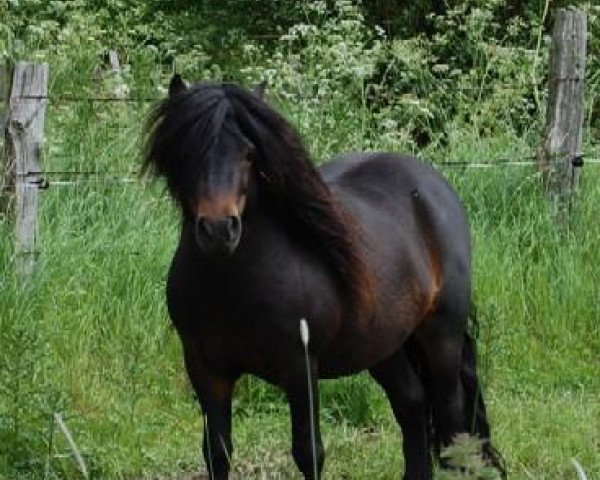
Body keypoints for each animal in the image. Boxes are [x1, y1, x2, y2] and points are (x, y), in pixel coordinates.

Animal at [143, 77, 504, 478]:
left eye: (250, 154)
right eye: (188, 150)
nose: (220, 229)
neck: (232, 287)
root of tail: (434, 186)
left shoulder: (300, 368)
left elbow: (308, 452)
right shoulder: (207, 372)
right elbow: (216, 453)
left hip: (441, 336)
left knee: (451, 418)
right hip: (383, 344)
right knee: (412, 402)